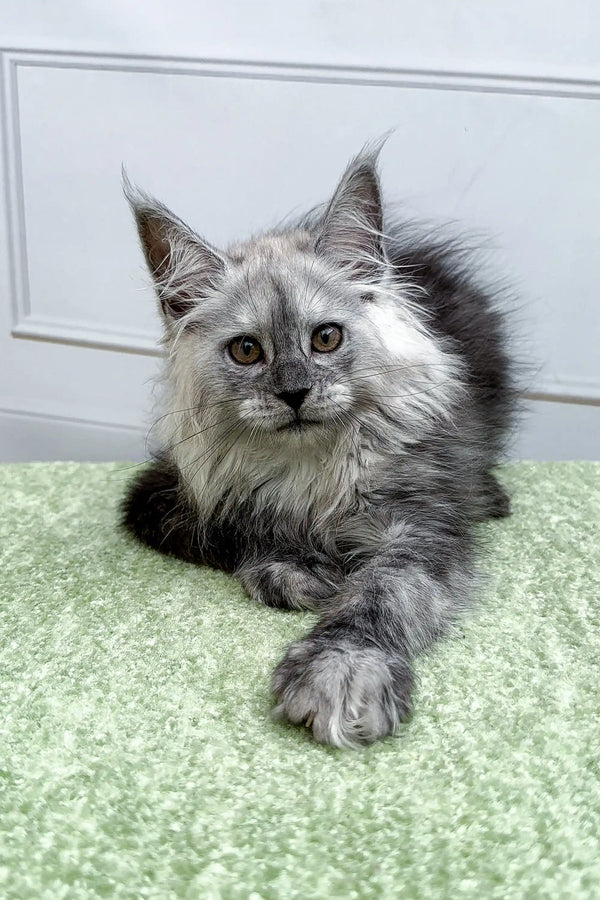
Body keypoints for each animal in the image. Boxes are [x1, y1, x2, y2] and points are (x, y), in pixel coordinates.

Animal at [123, 151, 516, 748]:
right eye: (246, 350)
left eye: (325, 338)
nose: (294, 393)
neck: (311, 469)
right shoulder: (164, 496)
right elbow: (239, 527)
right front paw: (300, 571)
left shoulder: (422, 526)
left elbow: (382, 592)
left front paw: (343, 668)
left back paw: (490, 495)